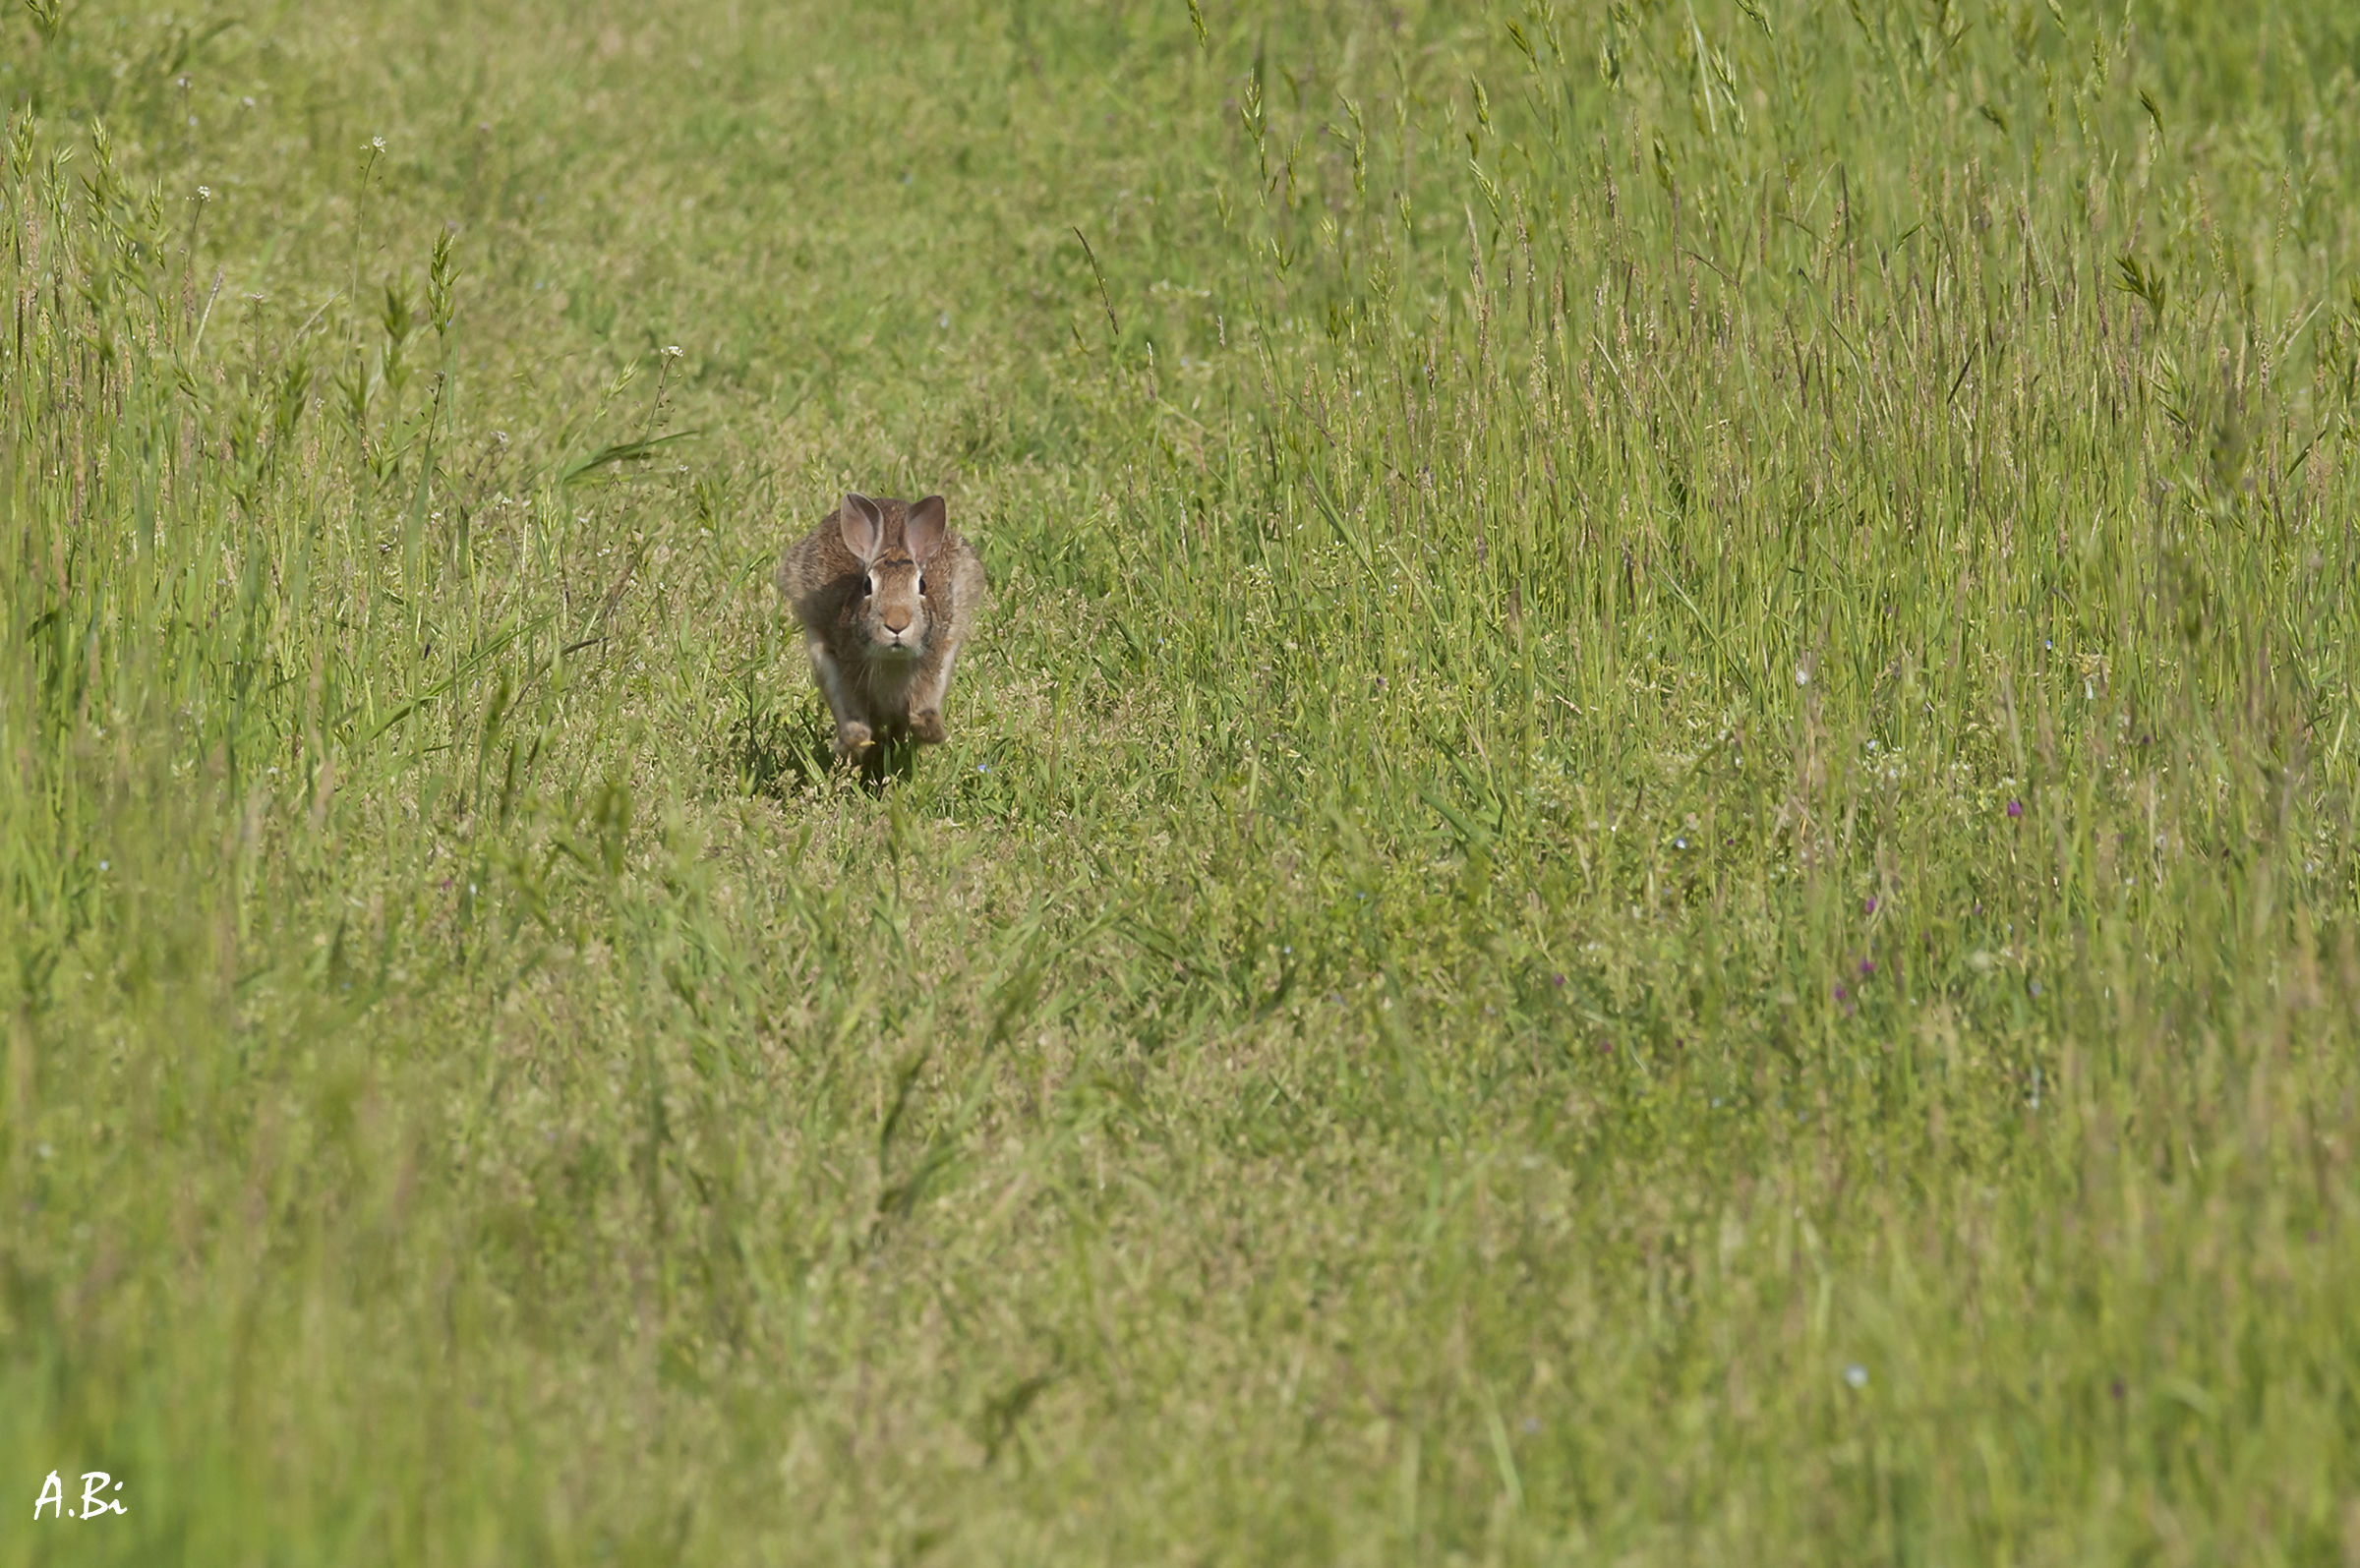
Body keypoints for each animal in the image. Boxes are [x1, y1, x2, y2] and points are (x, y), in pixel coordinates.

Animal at [775, 492, 985, 759]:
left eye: (922, 585)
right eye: (867, 586)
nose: (897, 624)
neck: (891, 658)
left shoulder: (937, 661)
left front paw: (930, 729)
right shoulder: (838, 666)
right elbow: (856, 723)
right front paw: (849, 744)